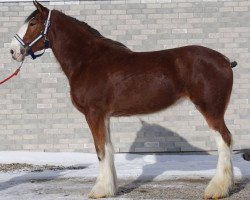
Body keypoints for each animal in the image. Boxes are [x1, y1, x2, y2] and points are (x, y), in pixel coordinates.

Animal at [10, 1, 238, 198]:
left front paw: (99, 190)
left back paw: (217, 189)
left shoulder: (93, 114)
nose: (13, 51)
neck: (88, 60)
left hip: (211, 110)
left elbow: (100, 150)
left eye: (32, 23)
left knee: (224, 140)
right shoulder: (104, 116)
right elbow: (108, 148)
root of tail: (225, 60)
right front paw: (110, 188)